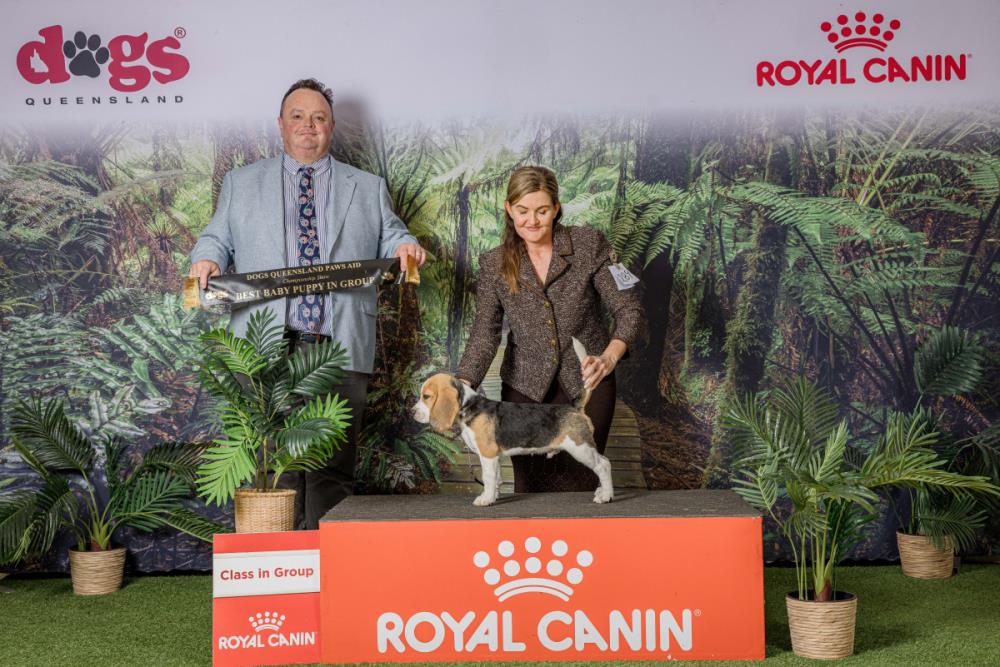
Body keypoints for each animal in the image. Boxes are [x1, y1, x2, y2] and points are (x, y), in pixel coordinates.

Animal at [411, 338, 613, 506]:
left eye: (426, 396)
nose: (412, 412)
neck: (469, 406)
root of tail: (574, 407)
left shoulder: (488, 454)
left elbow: (488, 477)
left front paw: (485, 499)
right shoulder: (495, 457)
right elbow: (496, 479)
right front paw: (493, 496)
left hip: (580, 447)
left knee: (603, 465)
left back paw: (605, 496)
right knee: (604, 461)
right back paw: (604, 492)